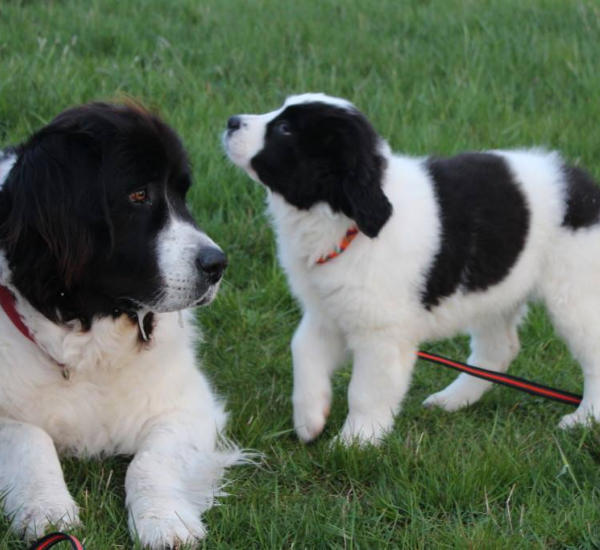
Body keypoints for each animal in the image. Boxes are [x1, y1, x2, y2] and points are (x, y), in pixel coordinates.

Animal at [0, 102, 243, 547]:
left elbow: (150, 460)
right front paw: (46, 508)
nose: (217, 264)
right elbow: (29, 437)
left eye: (181, 195)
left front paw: (166, 521)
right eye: (138, 196)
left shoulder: (188, 405)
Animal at [224, 92, 600, 446]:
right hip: (494, 289)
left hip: (575, 292)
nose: (231, 121)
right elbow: (302, 350)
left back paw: (583, 420)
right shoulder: (327, 312)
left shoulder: (382, 333)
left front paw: (354, 443)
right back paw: (453, 400)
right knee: (498, 350)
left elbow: (364, 392)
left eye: (285, 129)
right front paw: (310, 419)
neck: (345, 221)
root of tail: (585, 187)